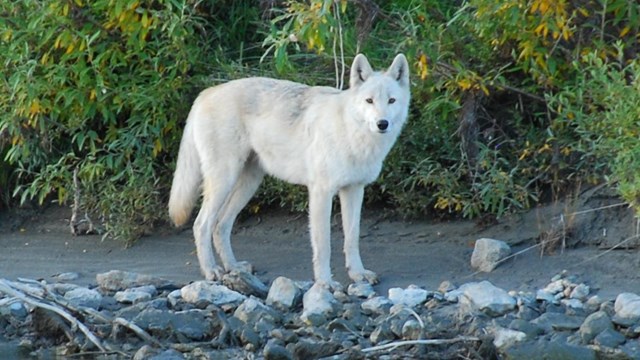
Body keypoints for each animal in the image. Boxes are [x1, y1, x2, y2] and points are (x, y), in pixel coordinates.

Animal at [169, 54, 410, 286]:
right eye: (369, 101)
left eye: (391, 100)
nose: (382, 123)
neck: (351, 133)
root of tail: (205, 93)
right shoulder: (321, 193)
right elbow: (324, 245)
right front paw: (325, 282)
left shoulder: (354, 190)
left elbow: (352, 238)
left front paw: (358, 274)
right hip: (224, 181)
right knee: (201, 225)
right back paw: (211, 271)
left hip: (249, 184)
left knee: (220, 225)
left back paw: (233, 267)